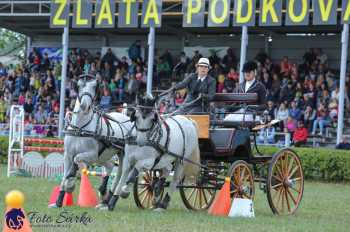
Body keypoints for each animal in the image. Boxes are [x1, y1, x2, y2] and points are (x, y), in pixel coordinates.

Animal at [47, 75, 133, 208]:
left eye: (94, 87)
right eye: (79, 85)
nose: (84, 106)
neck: (80, 128)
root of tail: (126, 118)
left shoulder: (91, 155)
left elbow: (76, 161)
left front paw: (70, 183)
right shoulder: (68, 155)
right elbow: (65, 175)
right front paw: (58, 201)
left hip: (122, 155)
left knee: (122, 173)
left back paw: (116, 196)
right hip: (107, 156)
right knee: (111, 167)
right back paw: (105, 197)